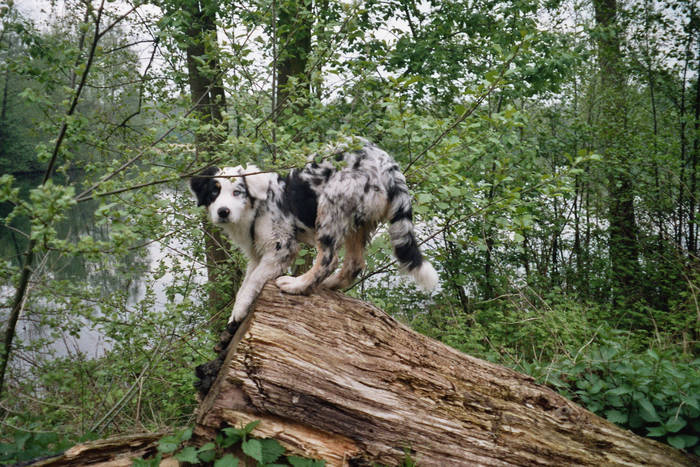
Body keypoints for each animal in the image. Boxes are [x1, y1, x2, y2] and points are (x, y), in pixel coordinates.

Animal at [190, 137, 438, 324]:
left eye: (237, 192)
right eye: (213, 193)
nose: (223, 212)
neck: (259, 206)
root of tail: (388, 165)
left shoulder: (281, 247)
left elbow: (253, 281)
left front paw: (240, 311)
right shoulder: (257, 255)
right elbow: (245, 283)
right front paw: (236, 312)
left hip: (330, 207)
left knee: (329, 259)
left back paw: (297, 285)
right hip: (356, 223)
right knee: (354, 264)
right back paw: (327, 285)